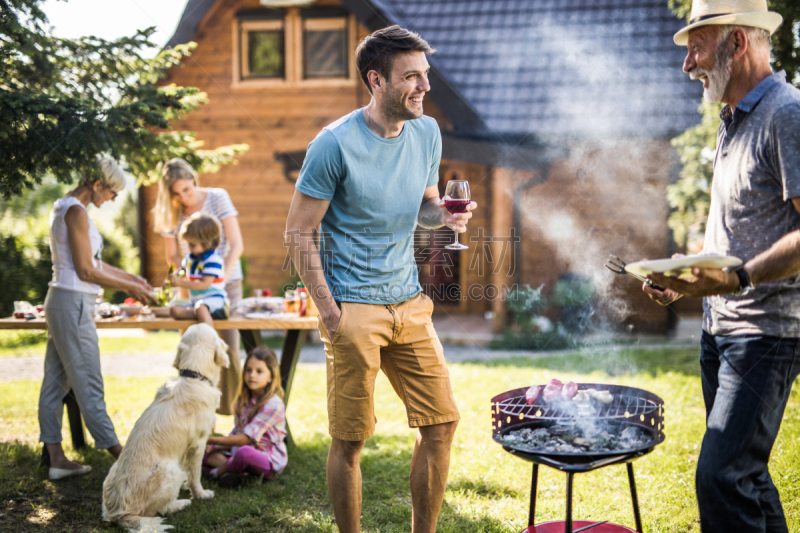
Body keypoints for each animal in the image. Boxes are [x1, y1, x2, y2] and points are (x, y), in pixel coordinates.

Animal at [102, 322, 228, 528]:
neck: (193, 376)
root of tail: (119, 514)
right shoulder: (198, 444)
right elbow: (195, 475)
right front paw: (201, 494)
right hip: (170, 469)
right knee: (162, 509)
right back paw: (181, 503)